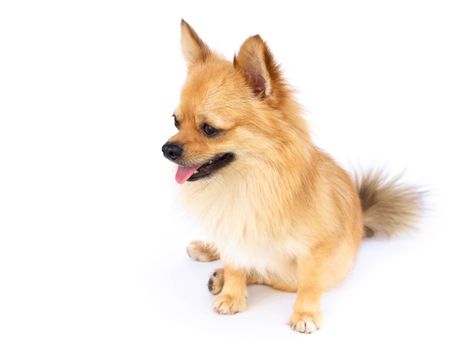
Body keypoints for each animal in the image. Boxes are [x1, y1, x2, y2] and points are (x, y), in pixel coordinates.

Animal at [163, 19, 422, 334]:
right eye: (175, 122)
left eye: (209, 129)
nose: (167, 148)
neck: (246, 182)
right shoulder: (232, 229)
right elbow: (236, 262)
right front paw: (232, 294)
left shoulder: (314, 251)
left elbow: (307, 283)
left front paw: (305, 313)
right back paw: (209, 253)